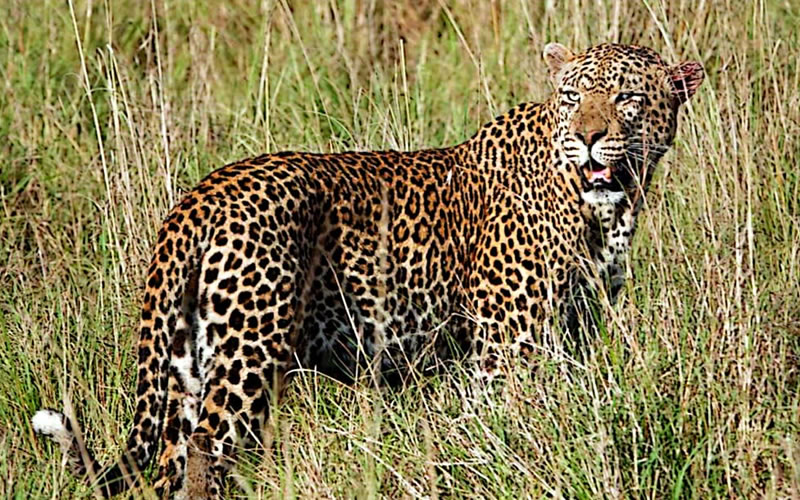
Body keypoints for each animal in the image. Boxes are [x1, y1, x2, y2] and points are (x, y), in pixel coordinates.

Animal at [32, 42, 703, 498]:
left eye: (627, 99)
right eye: (574, 97)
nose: (589, 136)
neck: (609, 206)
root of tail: (200, 195)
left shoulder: (578, 330)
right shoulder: (505, 348)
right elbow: (508, 426)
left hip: (188, 362)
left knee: (174, 458)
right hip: (249, 352)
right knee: (205, 452)